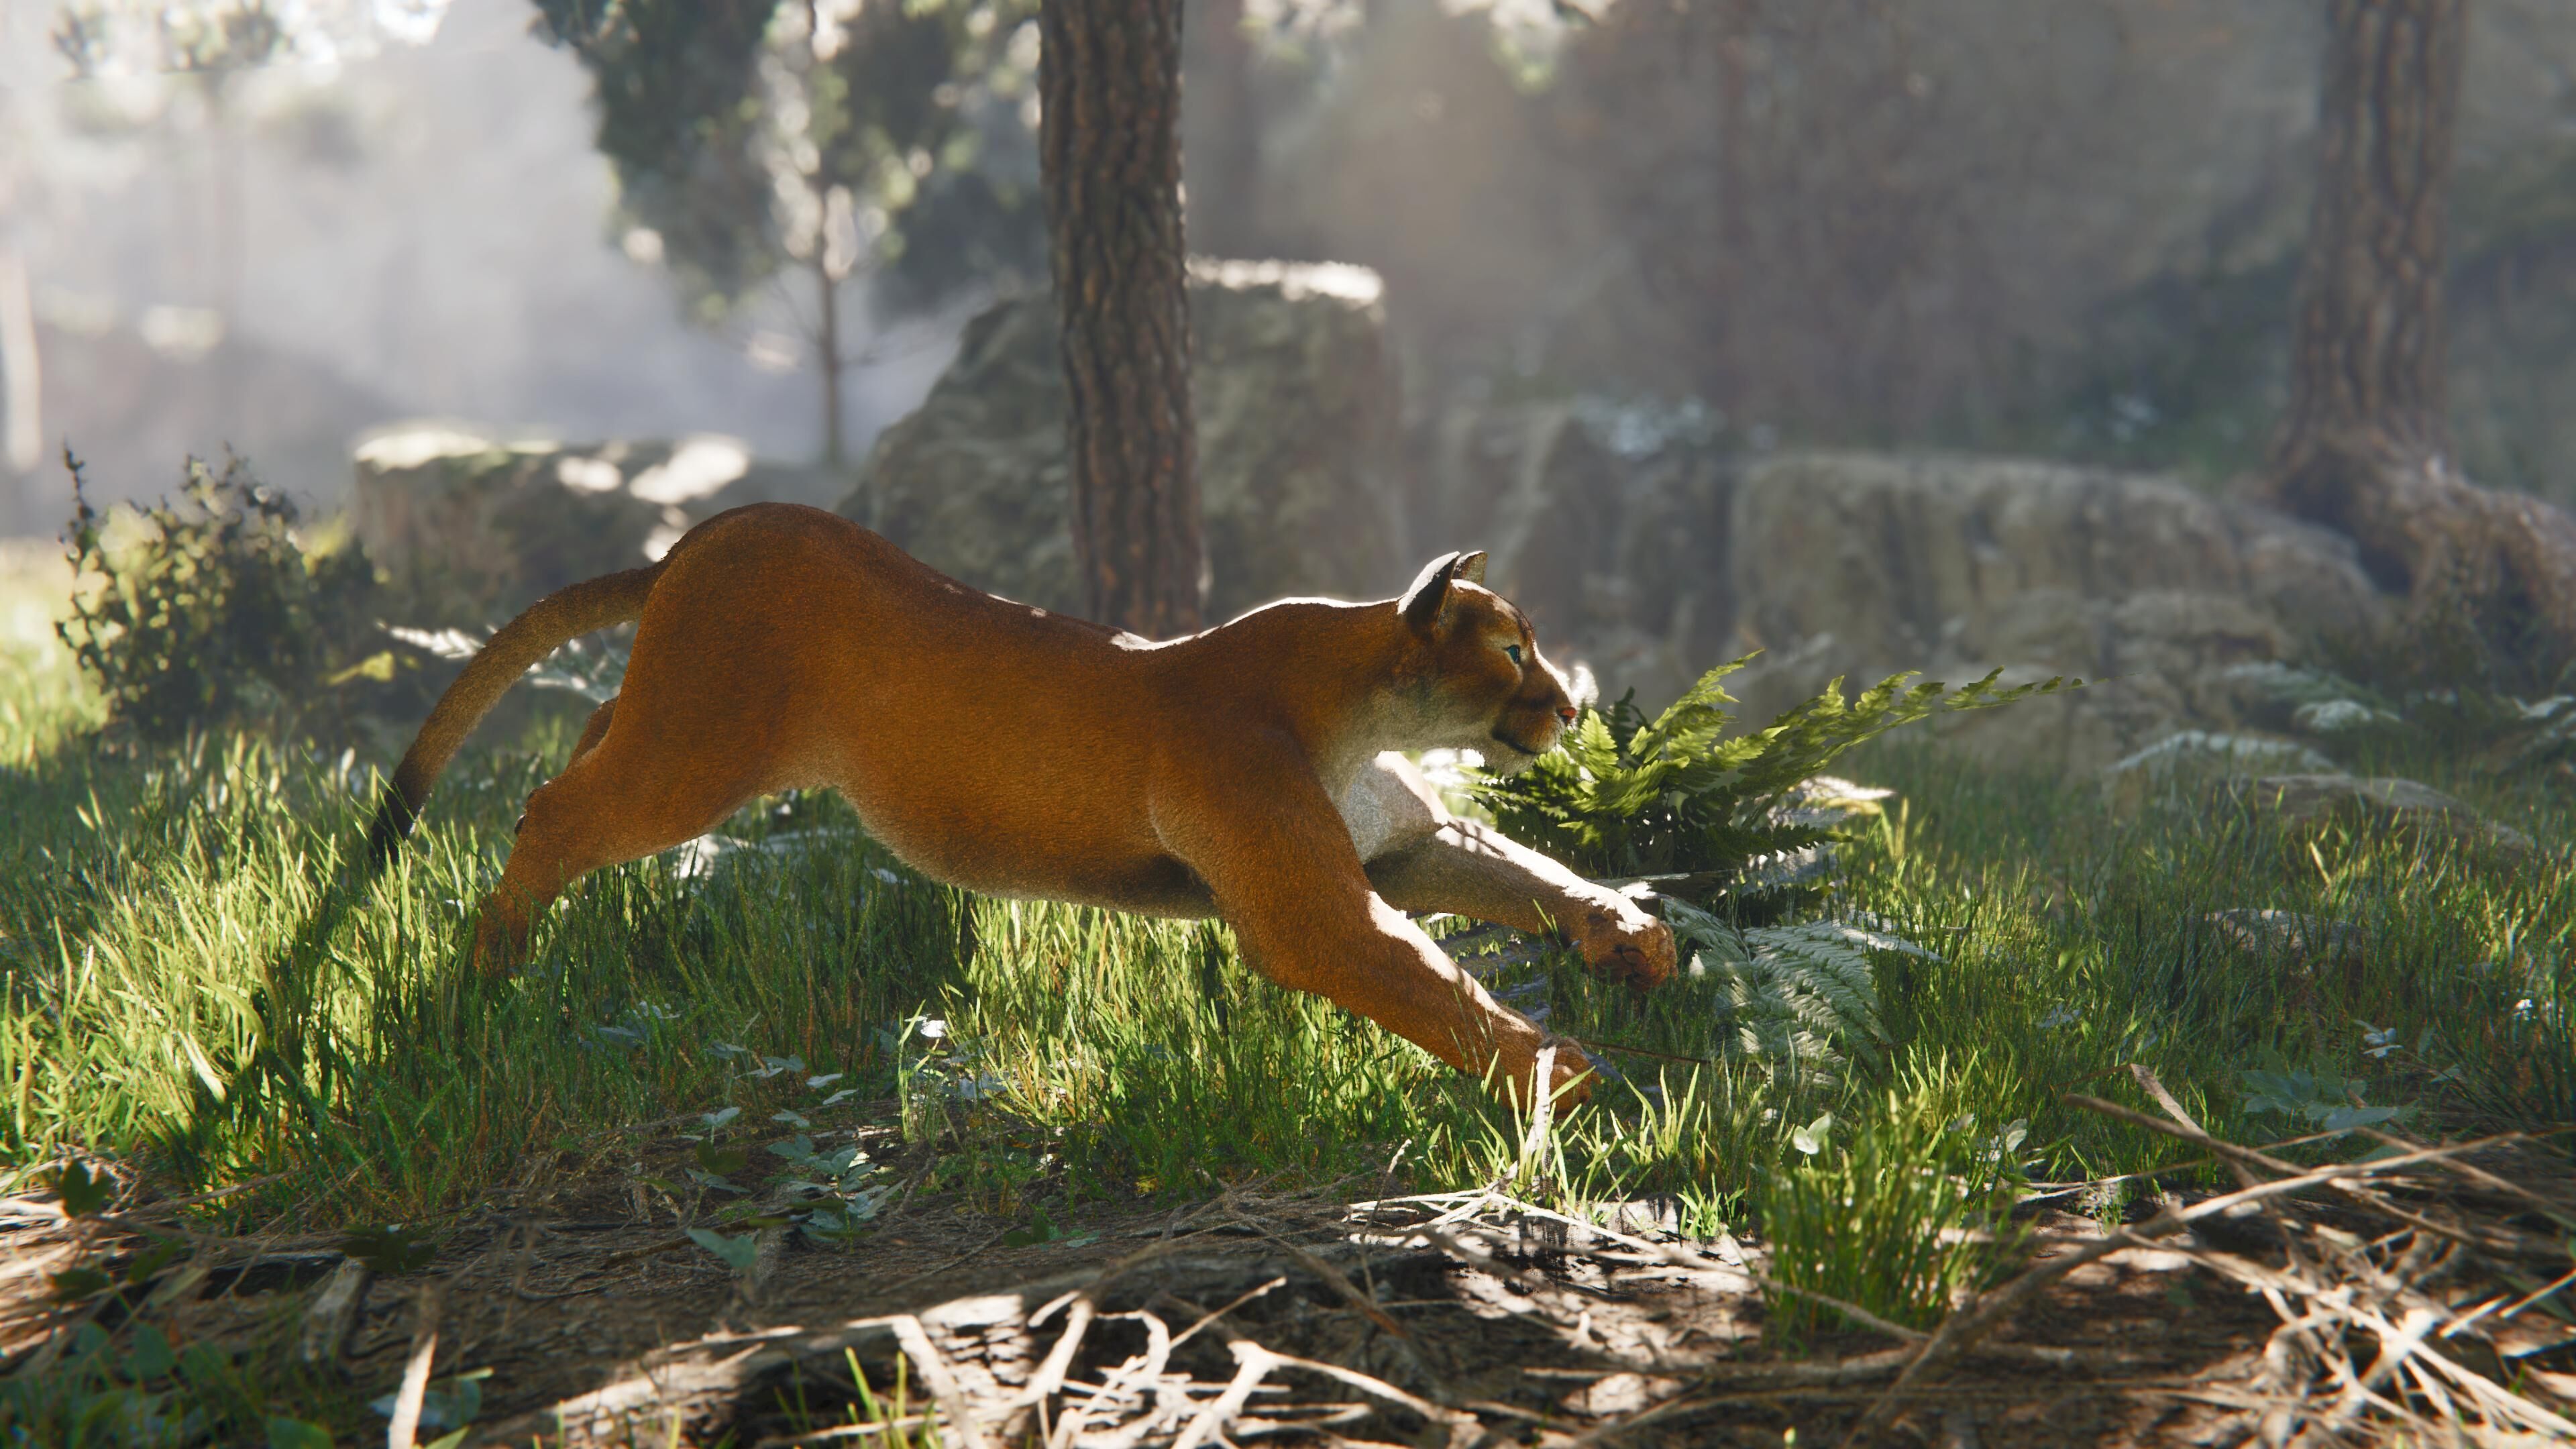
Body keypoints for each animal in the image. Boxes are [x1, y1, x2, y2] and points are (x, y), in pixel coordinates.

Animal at [366, 503, 1676, 1104]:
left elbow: (1516, 873)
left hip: (663, 728)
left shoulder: (1400, 847)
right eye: (1512, 651)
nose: (1568, 707)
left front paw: (1627, 933)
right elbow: (1425, 978)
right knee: (547, 812)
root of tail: (696, 536)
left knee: (582, 747)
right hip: (691, 760)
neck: (1361, 704)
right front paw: (1562, 1076)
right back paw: (482, 989)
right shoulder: (1316, 910)